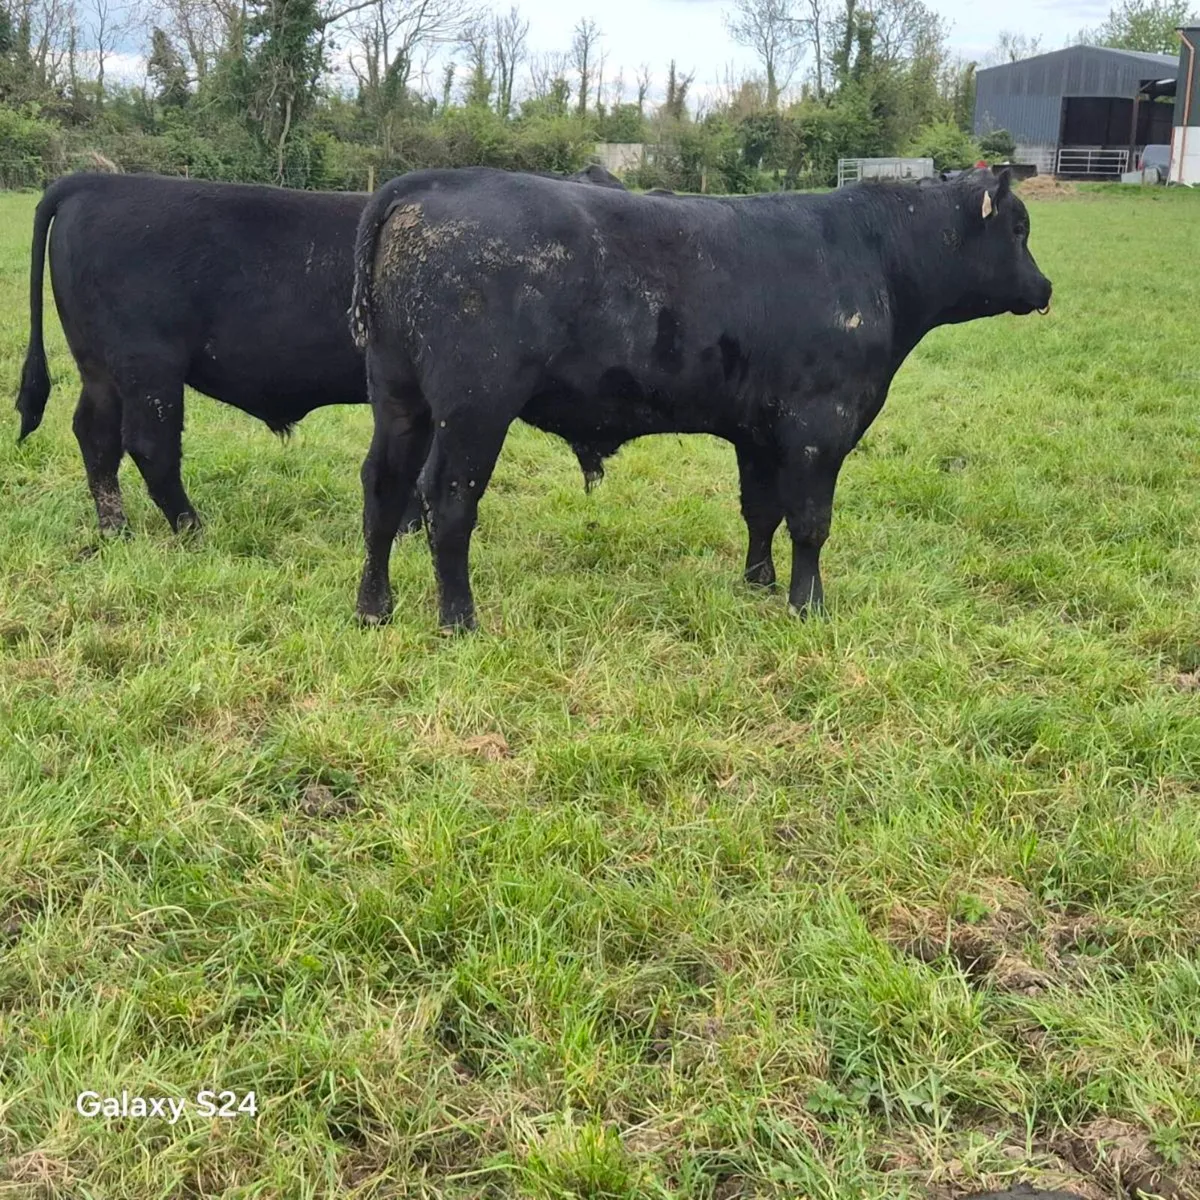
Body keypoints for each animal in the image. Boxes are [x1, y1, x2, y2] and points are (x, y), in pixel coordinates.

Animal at [13, 165, 625, 539]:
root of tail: (93, 182)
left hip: (100, 367)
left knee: (95, 436)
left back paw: (114, 528)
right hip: (148, 366)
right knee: (148, 444)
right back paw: (192, 528)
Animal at [348, 166, 1052, 632]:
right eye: (1019, 228)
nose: (1045, 287)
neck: (874, 255)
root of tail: (428, 184)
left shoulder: (760, 431)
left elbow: (761, 511)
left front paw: (759, 581)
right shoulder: (819, 424)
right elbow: (810, 521)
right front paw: (808, 606)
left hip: (399, 396)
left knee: (383, 489)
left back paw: (374, 608)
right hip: (475, 405)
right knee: (447, 500)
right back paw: (458, 619)